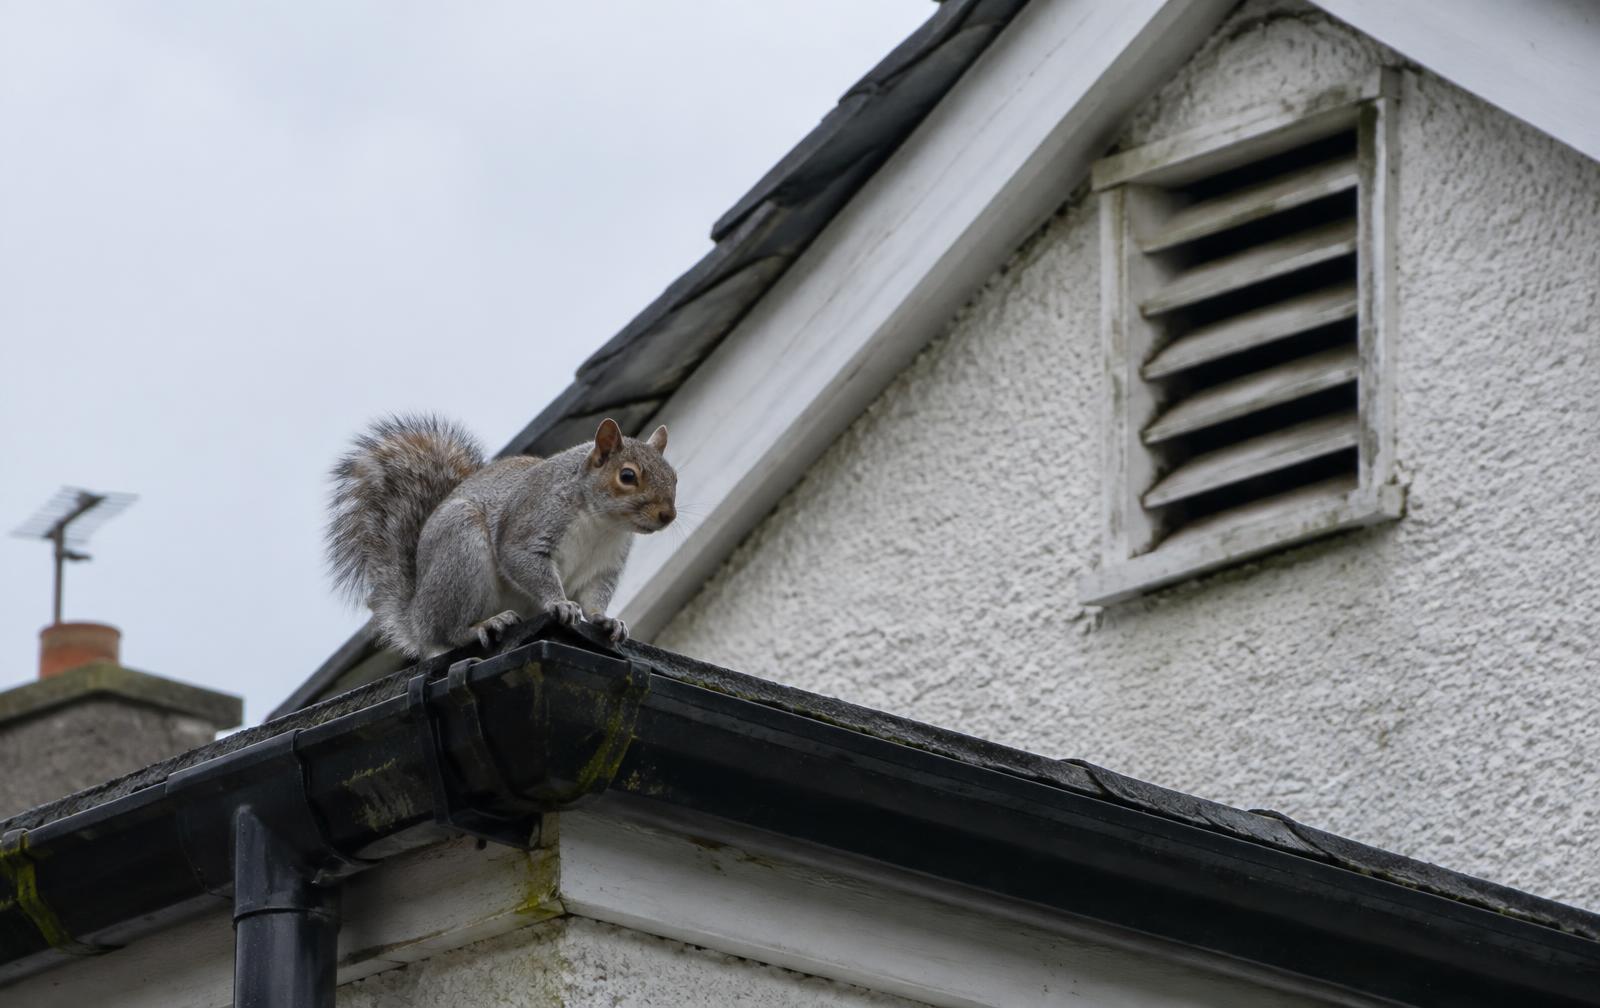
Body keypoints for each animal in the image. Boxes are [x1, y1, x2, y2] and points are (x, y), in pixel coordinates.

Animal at [325, 414, 676, 657]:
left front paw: (606, 621)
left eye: (674, 476)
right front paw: (560, 603)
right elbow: (521, 559)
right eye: (627, 476)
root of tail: (416, 617)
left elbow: (595, 597)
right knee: (448, 633)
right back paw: (482, 625)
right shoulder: (532, 522)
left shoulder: (604, 565)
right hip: (461, 551)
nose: (668, 515)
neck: (604, 526)